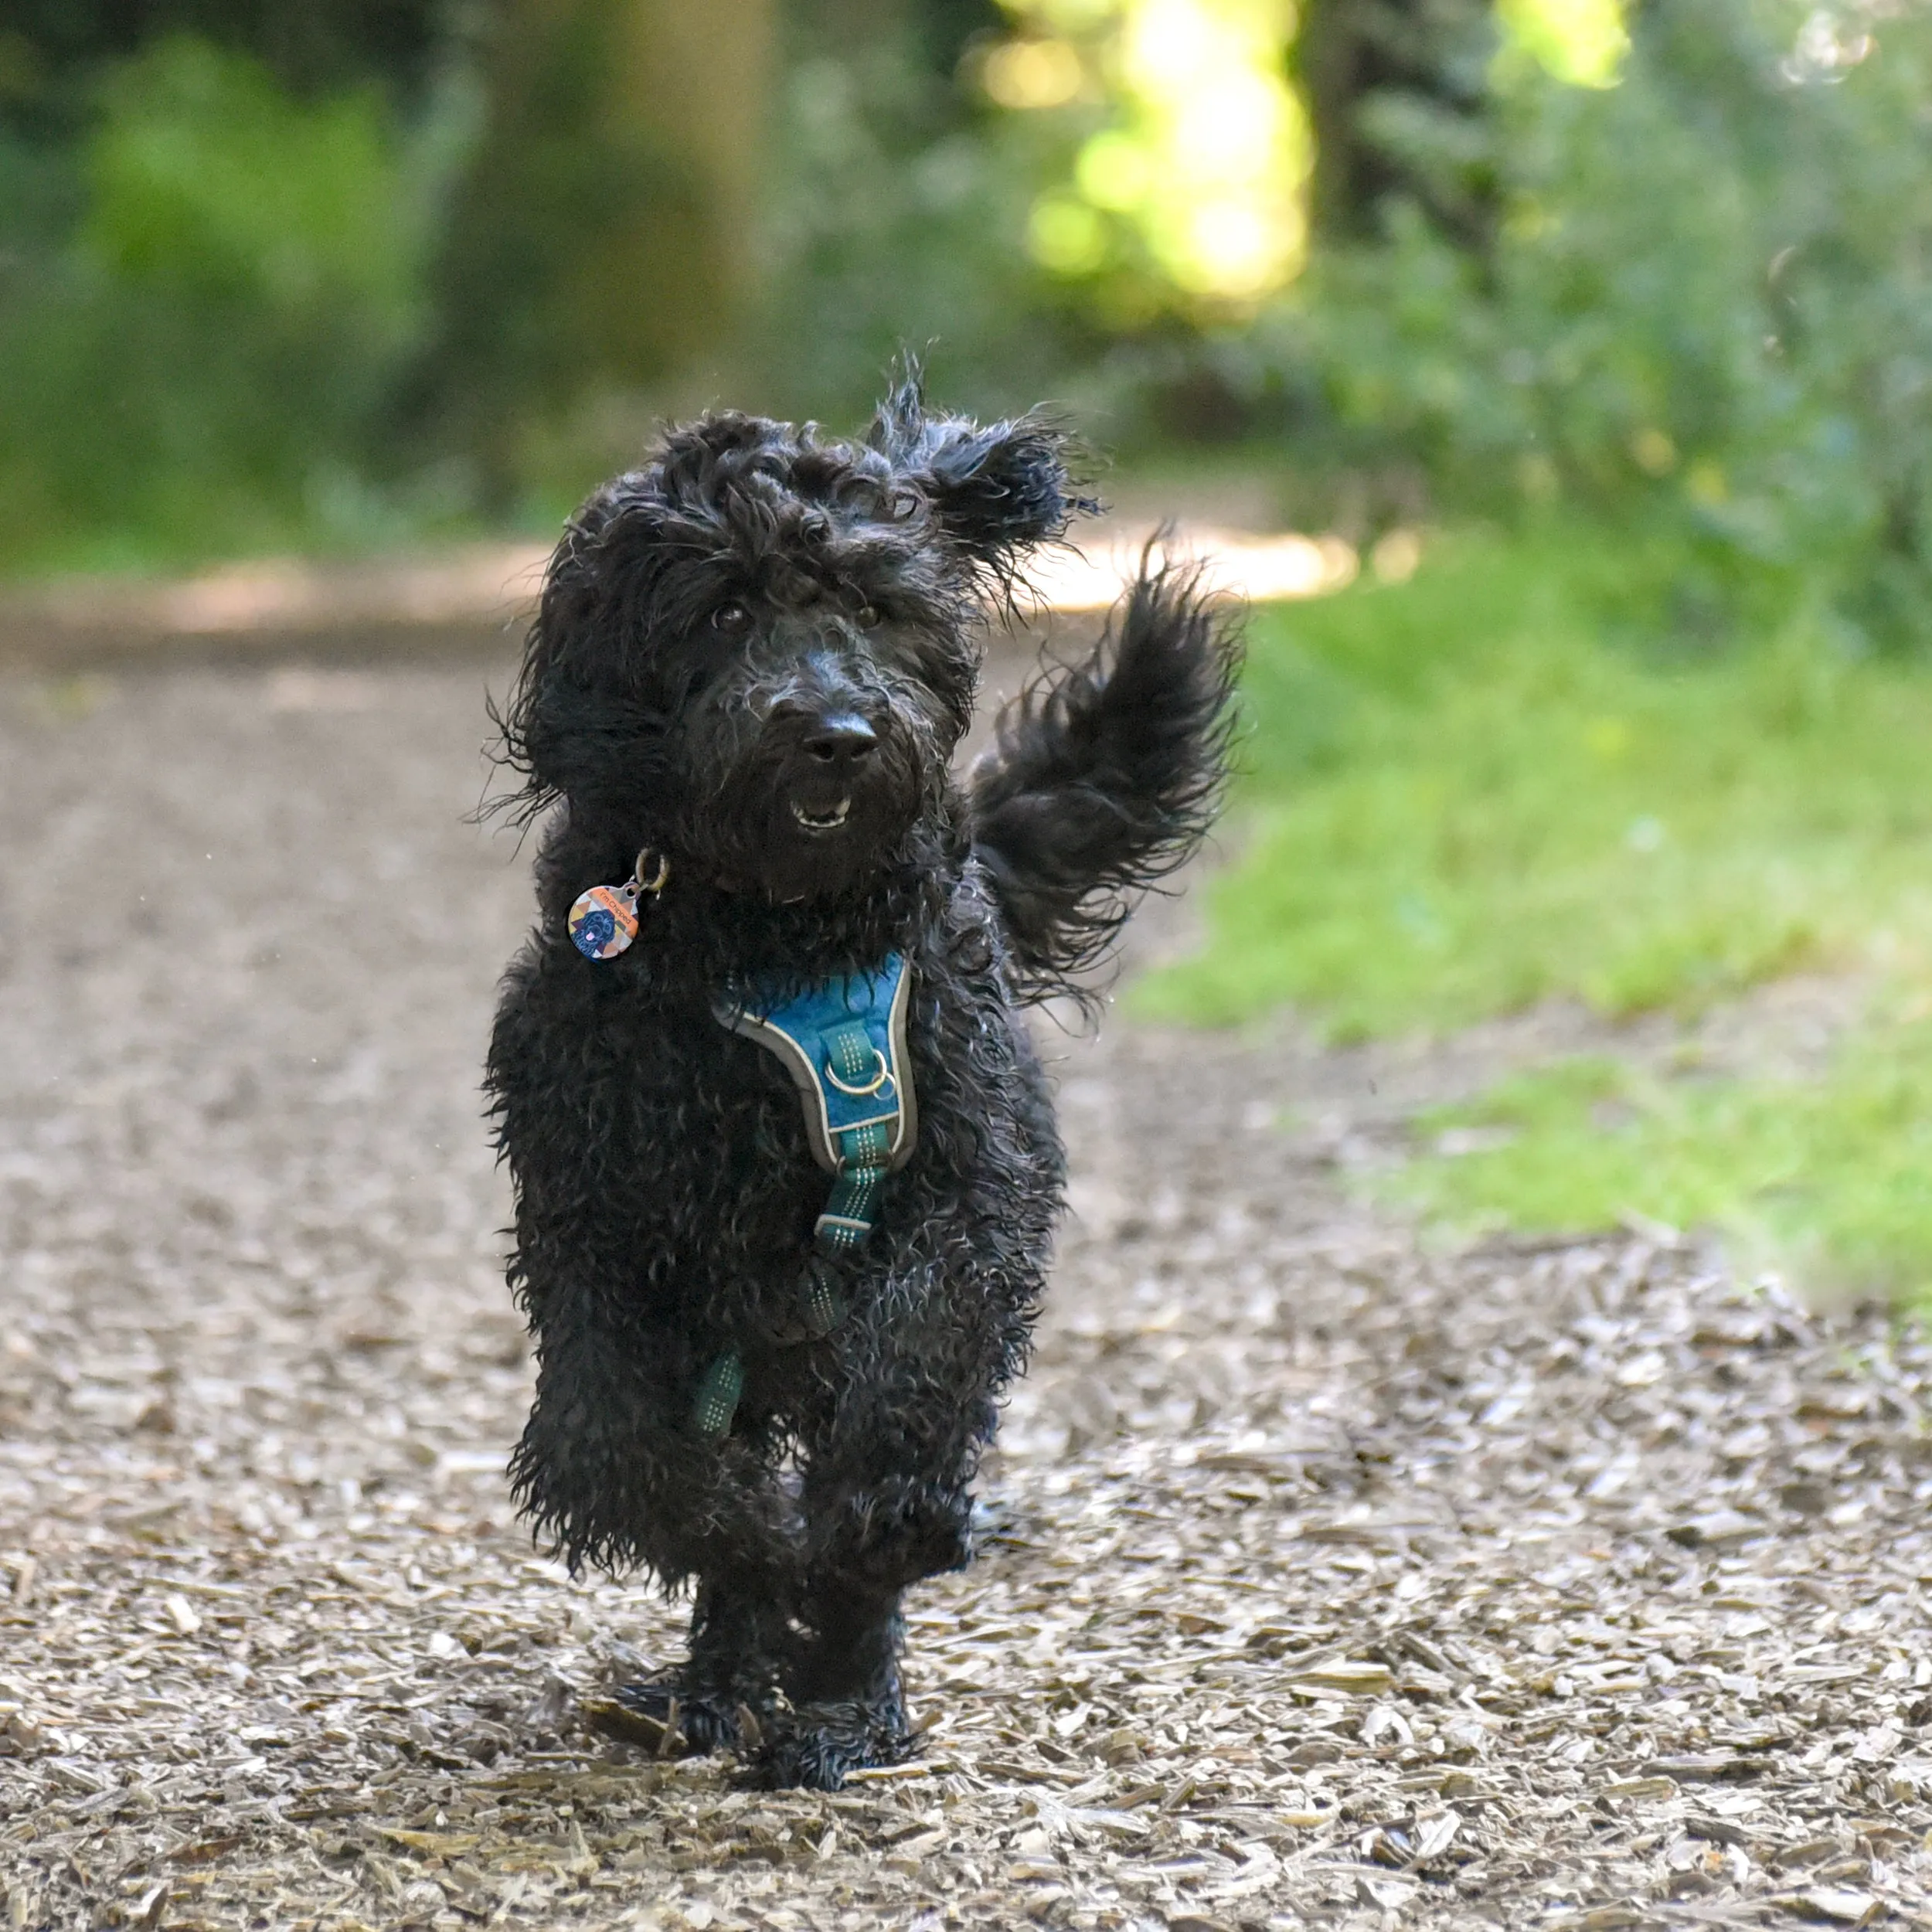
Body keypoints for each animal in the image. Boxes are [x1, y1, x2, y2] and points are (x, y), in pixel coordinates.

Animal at [483, 376, 1236, 1793]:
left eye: (878, 608)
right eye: (725, 609)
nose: (835, 735)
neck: (783, 939)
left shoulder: (970, 1187)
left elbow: (917, 1362)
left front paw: (871, 1531)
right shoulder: (592, 1228)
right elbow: (620, 1450)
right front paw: (752, 1543)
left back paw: (841, 1704)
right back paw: (719, 1688)